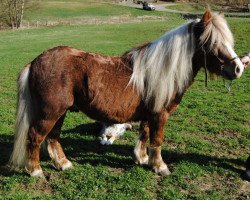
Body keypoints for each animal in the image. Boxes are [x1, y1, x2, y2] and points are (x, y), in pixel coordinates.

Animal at [9, 10, 244, 177]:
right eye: (213, 42)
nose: (238, 68)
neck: (163, 70)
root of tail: (35, 62)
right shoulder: (160, 115)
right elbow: (157, 139)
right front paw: (160, 166)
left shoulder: (149, 114)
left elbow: (145, 135)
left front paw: (141, 159)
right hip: (50, 112)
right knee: (35, 136)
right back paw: (36, 171)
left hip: (60, 112)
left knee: (53, 137)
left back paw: (63, 164)